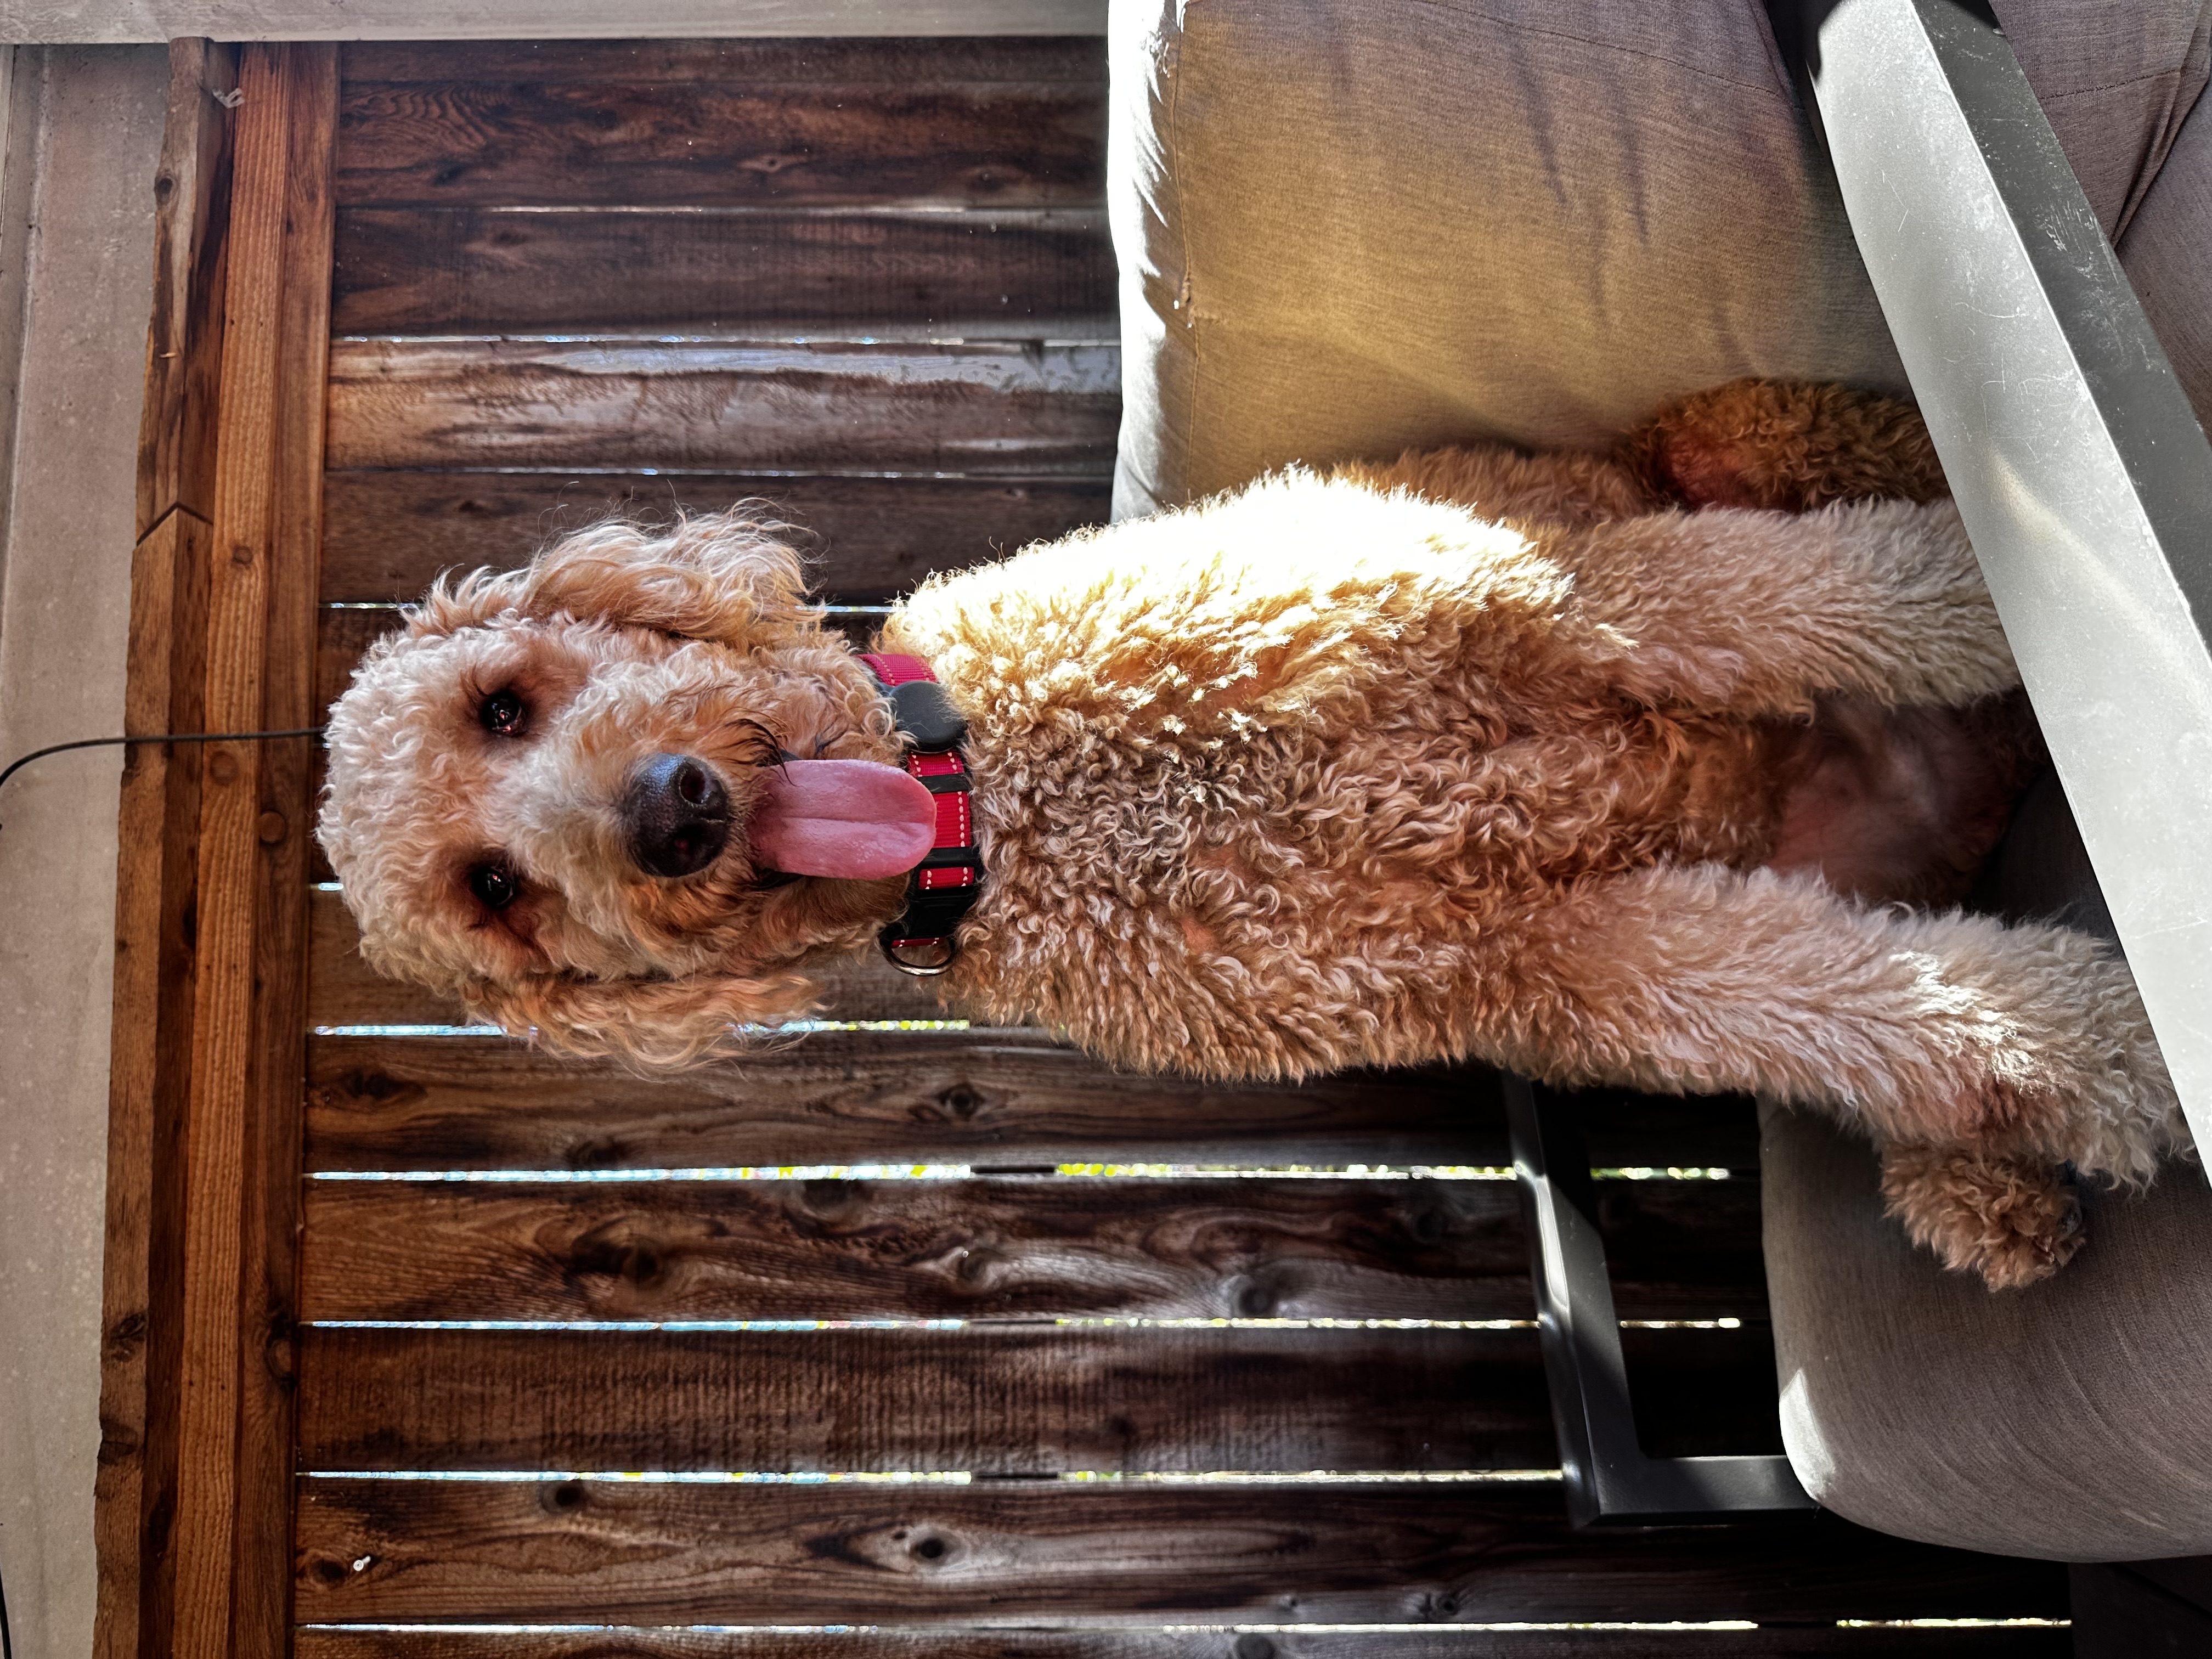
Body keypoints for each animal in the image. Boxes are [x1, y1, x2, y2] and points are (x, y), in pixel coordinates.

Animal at [317, 379, 2188, 1290]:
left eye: (504, 701)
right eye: (497, 898)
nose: (669, 815)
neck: (1005, 801)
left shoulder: (1586, 605)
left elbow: (1877, 589)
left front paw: (2052, 598)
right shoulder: (1570, 960)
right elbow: (1885, 1014)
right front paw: (2131, 1064)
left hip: (1718, 442)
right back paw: (1985, 1197)